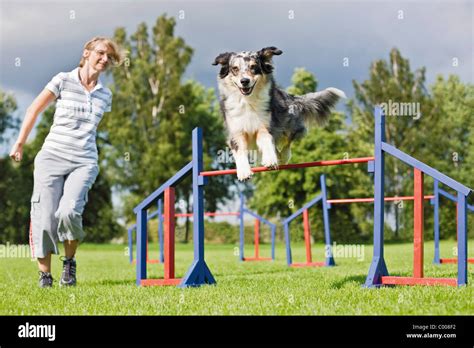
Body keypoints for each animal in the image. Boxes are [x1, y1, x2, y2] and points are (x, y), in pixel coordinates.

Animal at [213, 46, 346, 181]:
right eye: (235, 68)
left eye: (253, 67)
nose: (244, 81)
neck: (247, 101)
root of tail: (289, 96)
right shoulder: (236, 131)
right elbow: (239, 150)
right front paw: (244, 172)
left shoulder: (265, 125)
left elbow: (267, 140)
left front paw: (270, 160)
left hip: (290, 123)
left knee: (288, 141)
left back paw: (282, 157)